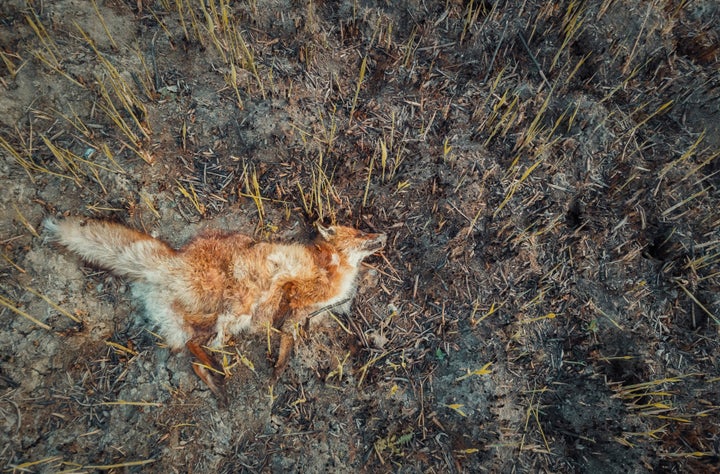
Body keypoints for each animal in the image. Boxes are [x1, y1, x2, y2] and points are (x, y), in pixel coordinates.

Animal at [43, 218, 386, 400]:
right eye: (361, 233)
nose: (382, 234)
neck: (330, 267)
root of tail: (172, 261)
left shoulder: (299, 313)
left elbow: (288, 340)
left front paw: (278, 370)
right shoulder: (295, 296)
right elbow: (287, 333)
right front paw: (277, 372)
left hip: (199, 321)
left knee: (190, 351)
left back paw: (214, 380)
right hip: (237, 311)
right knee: (199, 347)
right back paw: (218, 376)